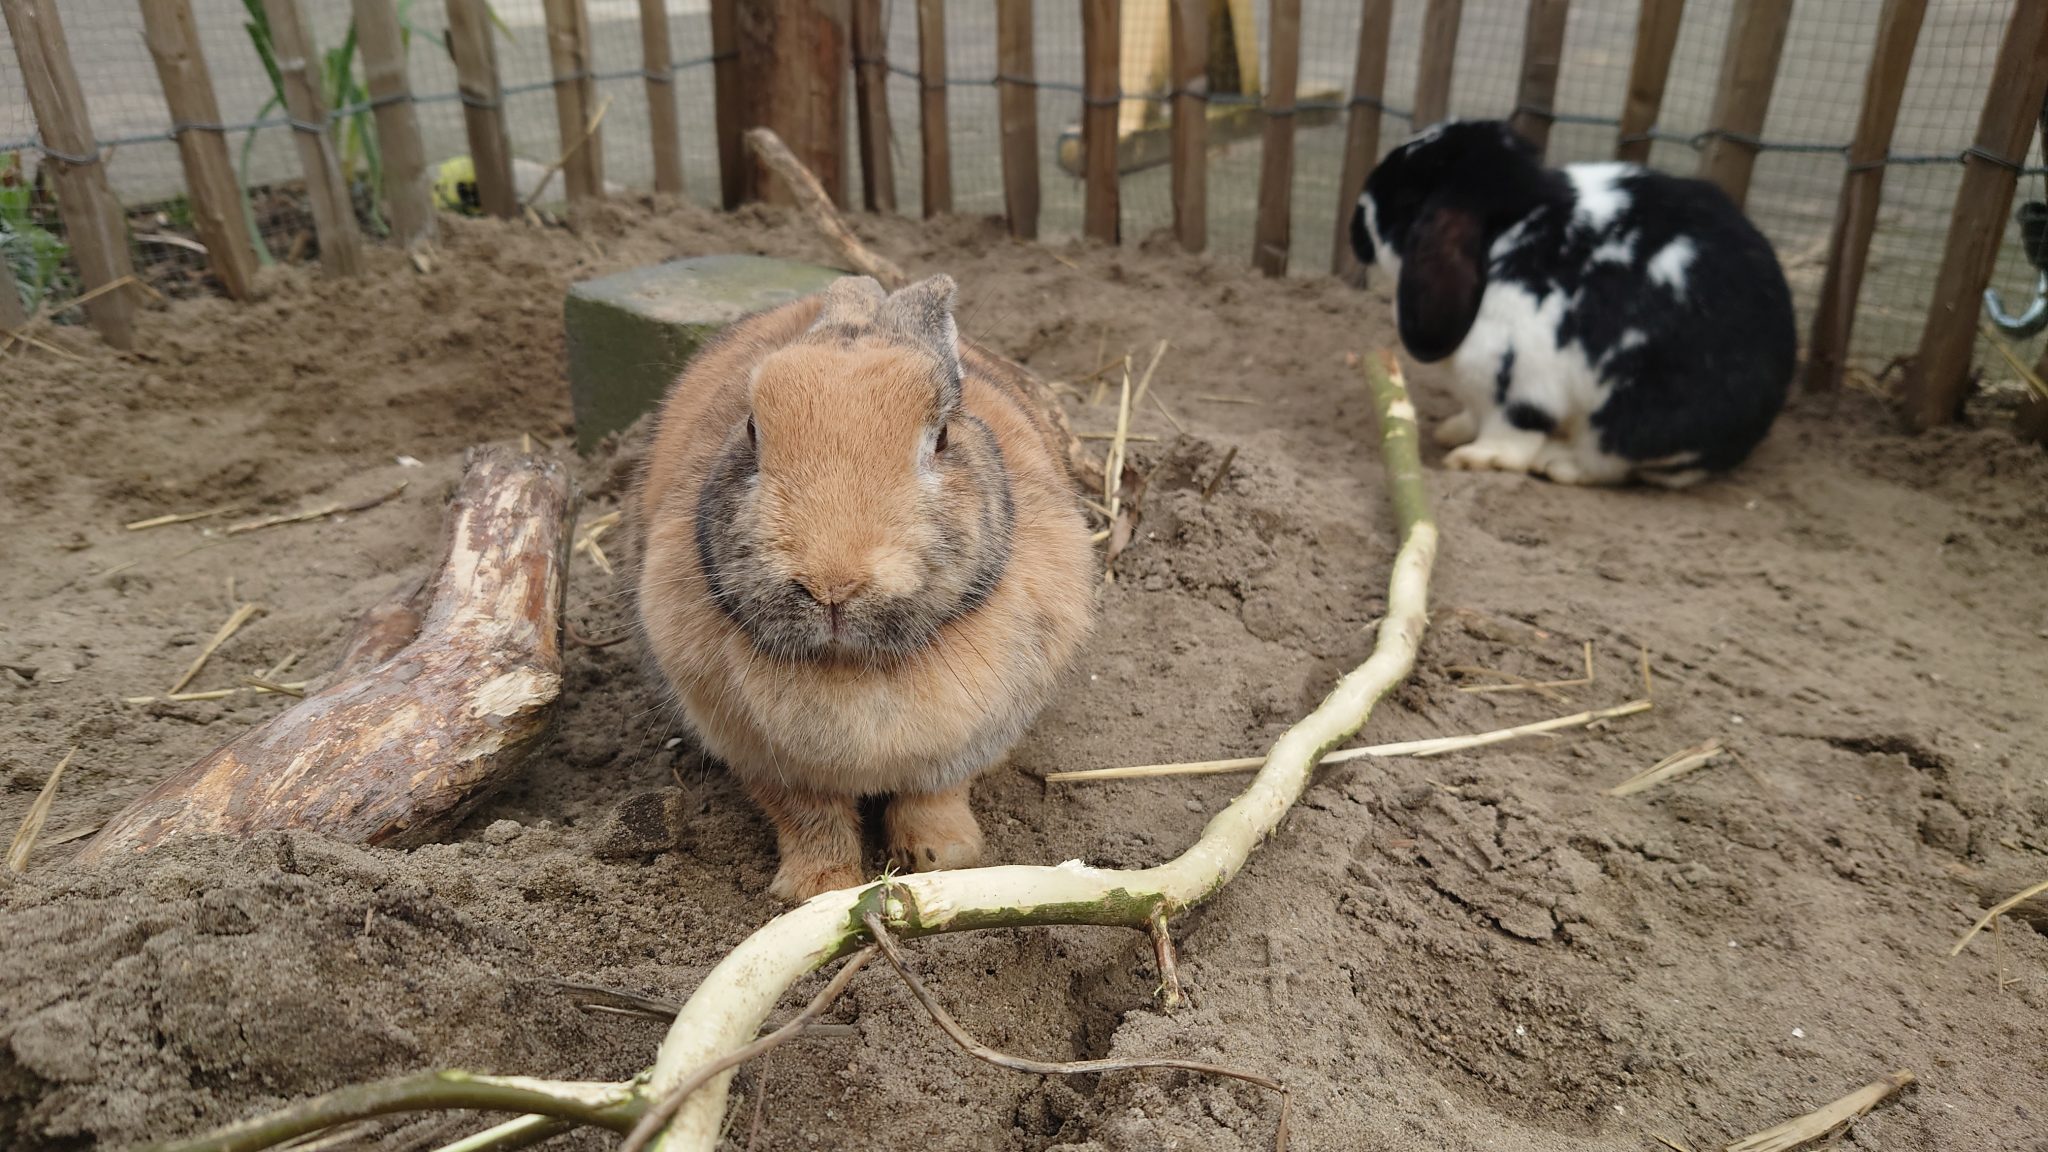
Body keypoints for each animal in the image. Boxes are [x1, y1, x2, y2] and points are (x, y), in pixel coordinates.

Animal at [634, 270, 1097, 897]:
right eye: (751, 430)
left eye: (941, 437)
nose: (831, 584)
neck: (854, 666)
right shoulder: (766, 760)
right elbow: (810, 818)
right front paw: (819, 889)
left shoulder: (962, 743)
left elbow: (935, 794)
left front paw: (942, 856)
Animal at [1351, 118, 1785, 485]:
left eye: (1407, 197)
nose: (1355, 225)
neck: (1513, 227)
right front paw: (1452, 431)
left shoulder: (1517, 378)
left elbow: (1512, 432)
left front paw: (1475, 458)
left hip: (1625, 420)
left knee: (1604, 466)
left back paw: (1557, 462)